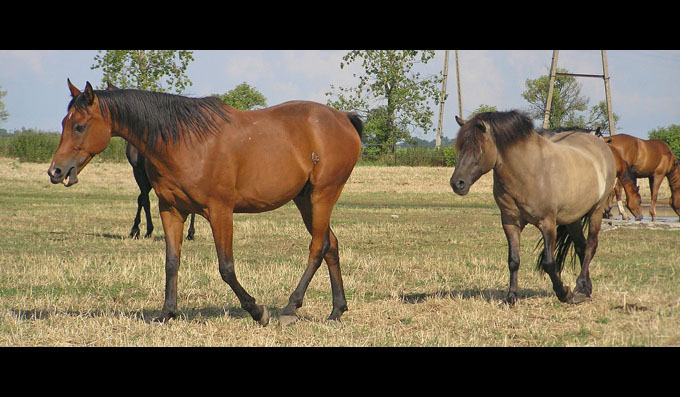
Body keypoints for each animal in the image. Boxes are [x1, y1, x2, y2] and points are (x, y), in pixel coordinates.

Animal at [46, 79, 366, 324]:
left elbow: (226, 267)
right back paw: (337, 311)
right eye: (63, 122)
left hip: (323, 194)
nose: (55, 171)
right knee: (331, 244)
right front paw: (167, 313)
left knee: (317, 247)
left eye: (79, 126)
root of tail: (342, 118)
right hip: (305, 200)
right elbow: (171, 261)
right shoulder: (171, 210)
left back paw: (289, 308)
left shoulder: (220, 211)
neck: (185, 141)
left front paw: (256, 310)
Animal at [452, 110, 616, 304]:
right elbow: (513, 260)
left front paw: (563, 292)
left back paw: (579, 287)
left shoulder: (547, 223)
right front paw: (511, 297)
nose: (457, 183)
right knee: (581, 246)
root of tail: (601, 144)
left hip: (596, 210)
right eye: (461, 147)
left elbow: (549, 263)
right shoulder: (510, 222)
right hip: (572, 218)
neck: (528, 170)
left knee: (591, 245)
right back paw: (586, 289)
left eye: (478, 149)